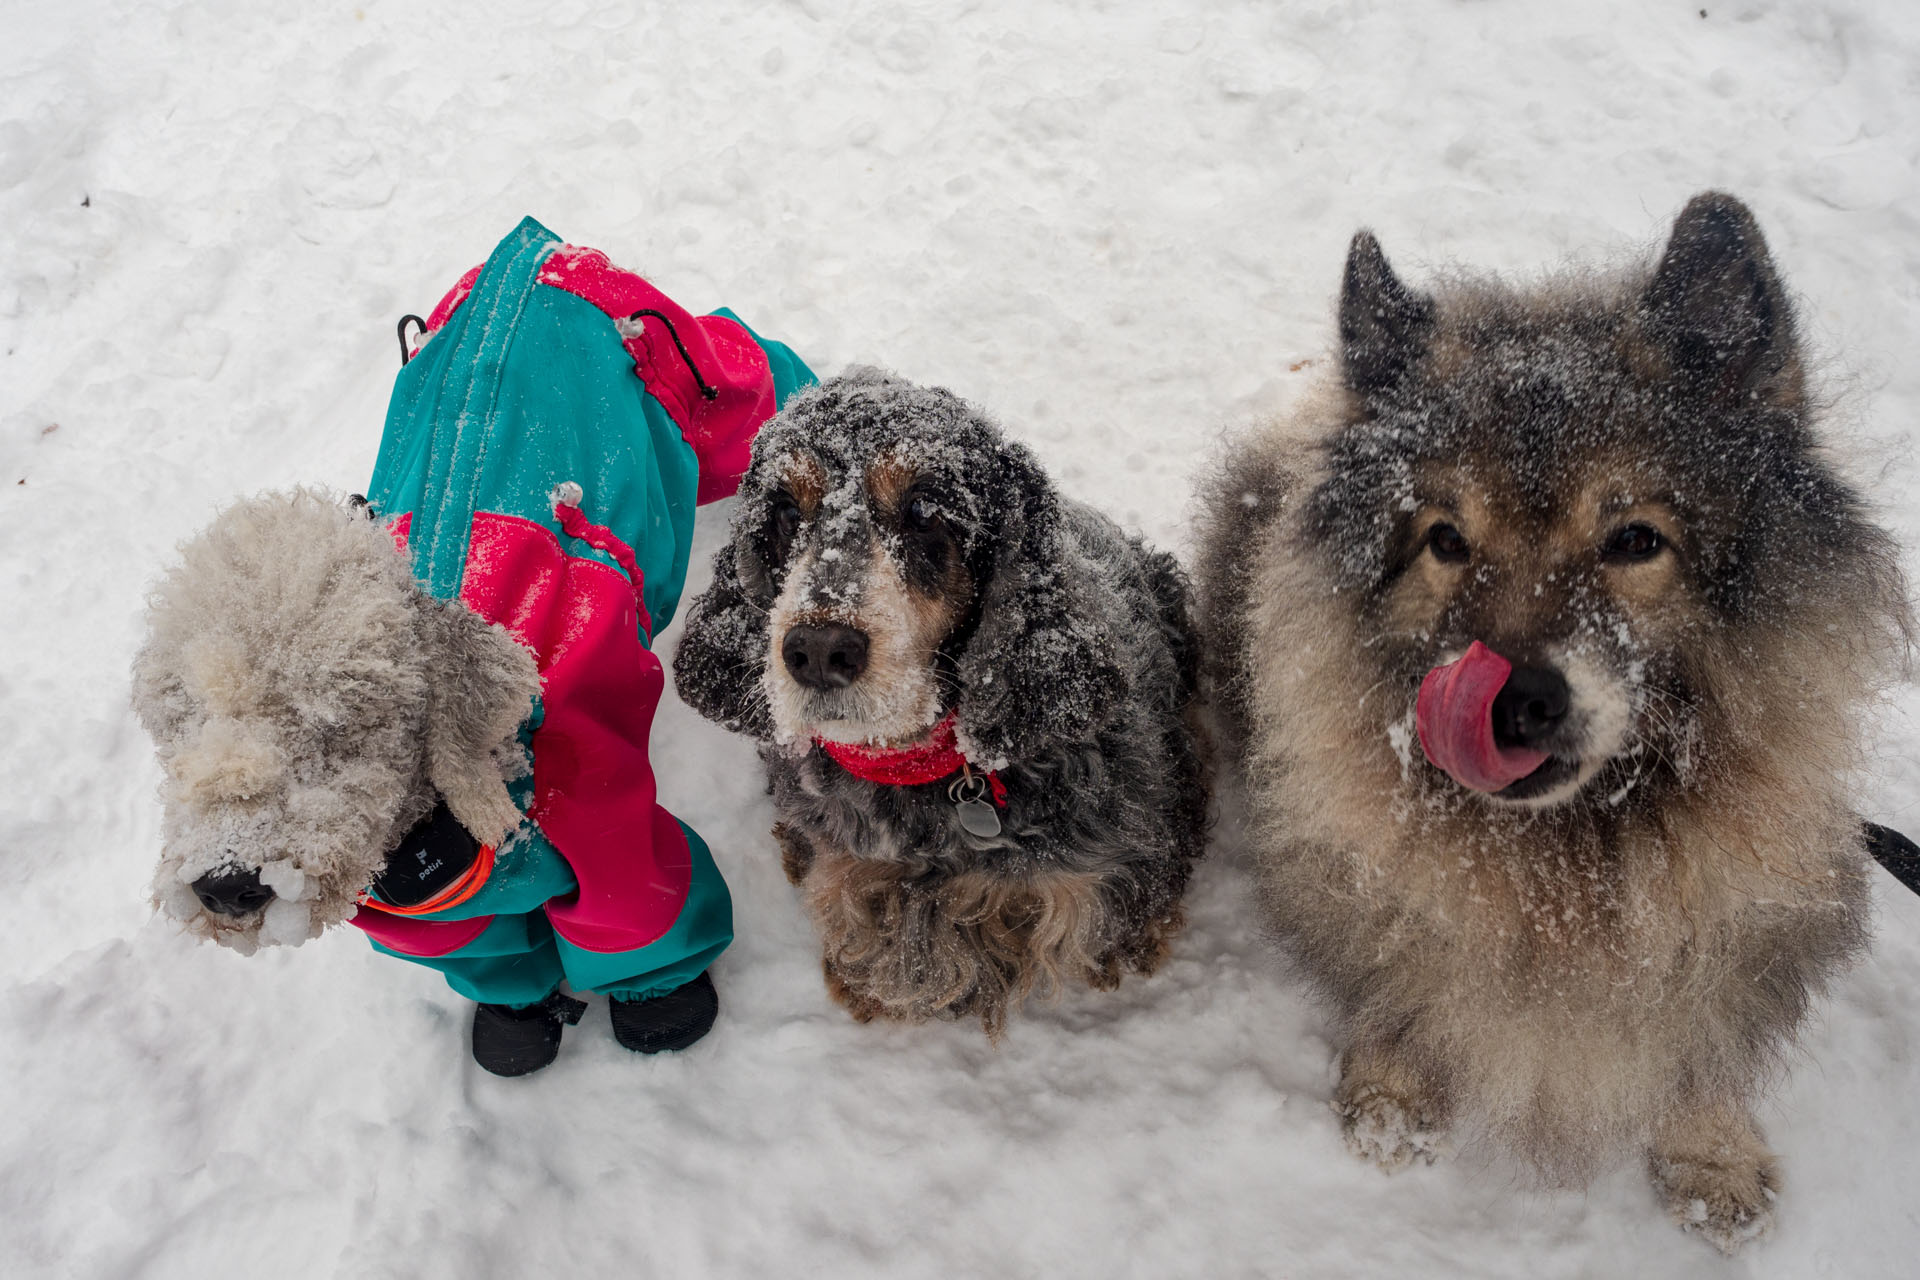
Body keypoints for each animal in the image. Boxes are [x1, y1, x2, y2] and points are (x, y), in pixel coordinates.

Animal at [675, 364, 1205, 1036]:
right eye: (785, 512)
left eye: (924, 510)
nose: (818, 651)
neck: (925, 771)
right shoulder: (842, 867)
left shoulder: (1115, 870)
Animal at [1198, 195, 1904, 1258]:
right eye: (1445, 539)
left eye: (1635, 540)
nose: (1510, 700)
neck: (1569, 859)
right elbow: (1395, 965)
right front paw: (1393, 1095)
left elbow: (1702, 1035)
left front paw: (1711, 1158)